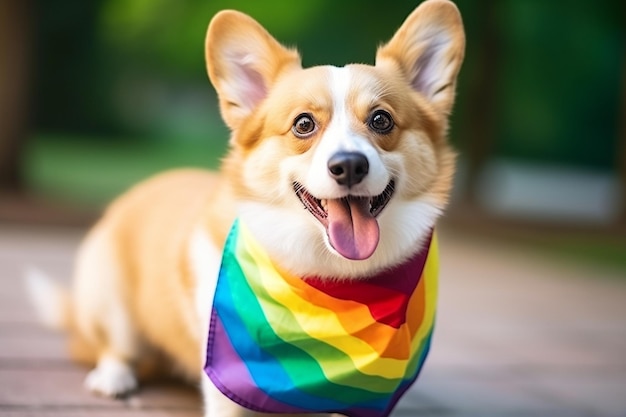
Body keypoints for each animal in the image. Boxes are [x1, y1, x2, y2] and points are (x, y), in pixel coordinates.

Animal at [28, 0, 464, 416]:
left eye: (381, 120)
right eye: (304, 124)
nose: (350, 165)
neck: (334, 281)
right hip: (109, 297)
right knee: (116, 346)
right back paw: (114, 377)